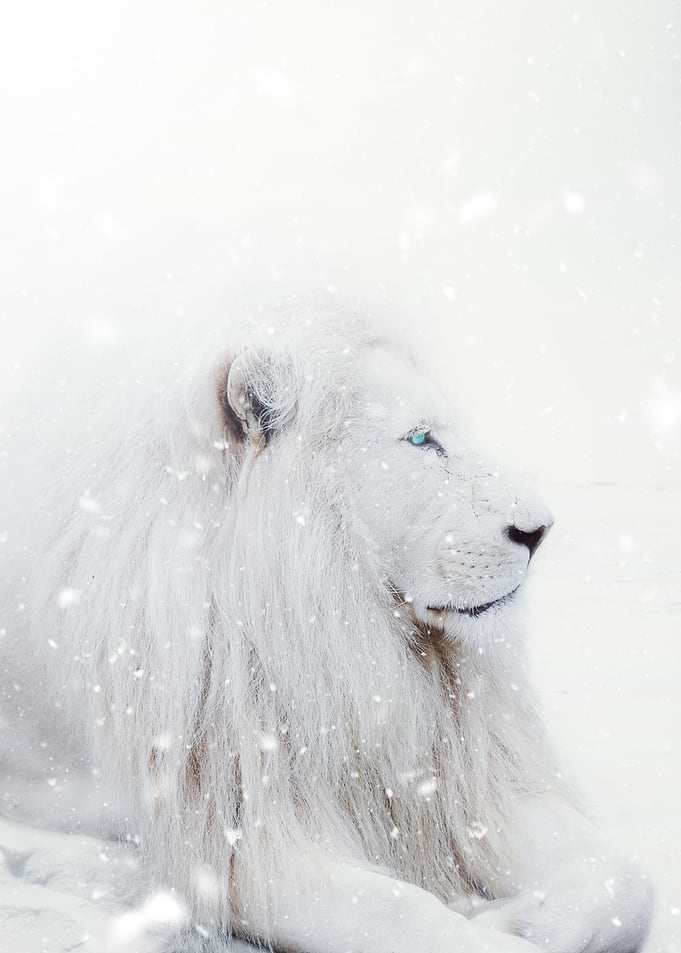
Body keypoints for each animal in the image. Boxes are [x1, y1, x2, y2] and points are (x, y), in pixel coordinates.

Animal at [0, 300, 653, 953]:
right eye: (421, 438)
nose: (539, 531)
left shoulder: (462, 783)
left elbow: (626, 879)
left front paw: (534, 917)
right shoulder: (237, 833)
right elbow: (399, 913)